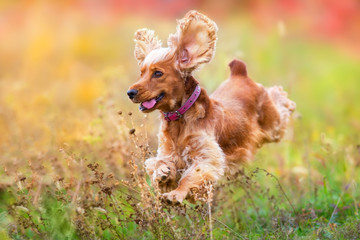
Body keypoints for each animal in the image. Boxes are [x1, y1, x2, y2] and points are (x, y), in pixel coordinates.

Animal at [126, 10, 296, 203]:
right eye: (141, 73)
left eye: (158, 73)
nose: (130, 92)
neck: (179, 119)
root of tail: (239, 73)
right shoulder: (168, 151)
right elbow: (155, 163)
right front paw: (162, 172)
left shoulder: (206, 156)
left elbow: (190, 177)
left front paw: (174, 195)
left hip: (272, 124)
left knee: (278, 98)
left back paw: (288, 102)